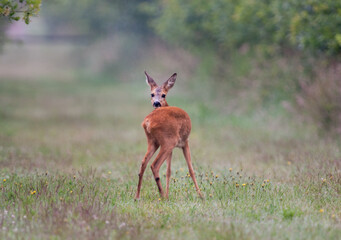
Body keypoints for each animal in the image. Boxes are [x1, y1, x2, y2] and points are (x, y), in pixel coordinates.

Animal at [133, 71, 202, 199]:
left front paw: (169, 193)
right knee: (154, 165)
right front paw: (201, 195)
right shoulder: (185, 142)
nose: (156, 103)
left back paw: (137, 196)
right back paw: (163, 196)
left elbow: (168, 170)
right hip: (168, 142)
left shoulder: (172, 148)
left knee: (143, 164)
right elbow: (191, 169)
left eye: (163, 95)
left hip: (153, 142)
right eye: (152, 94)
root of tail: (147, 121)